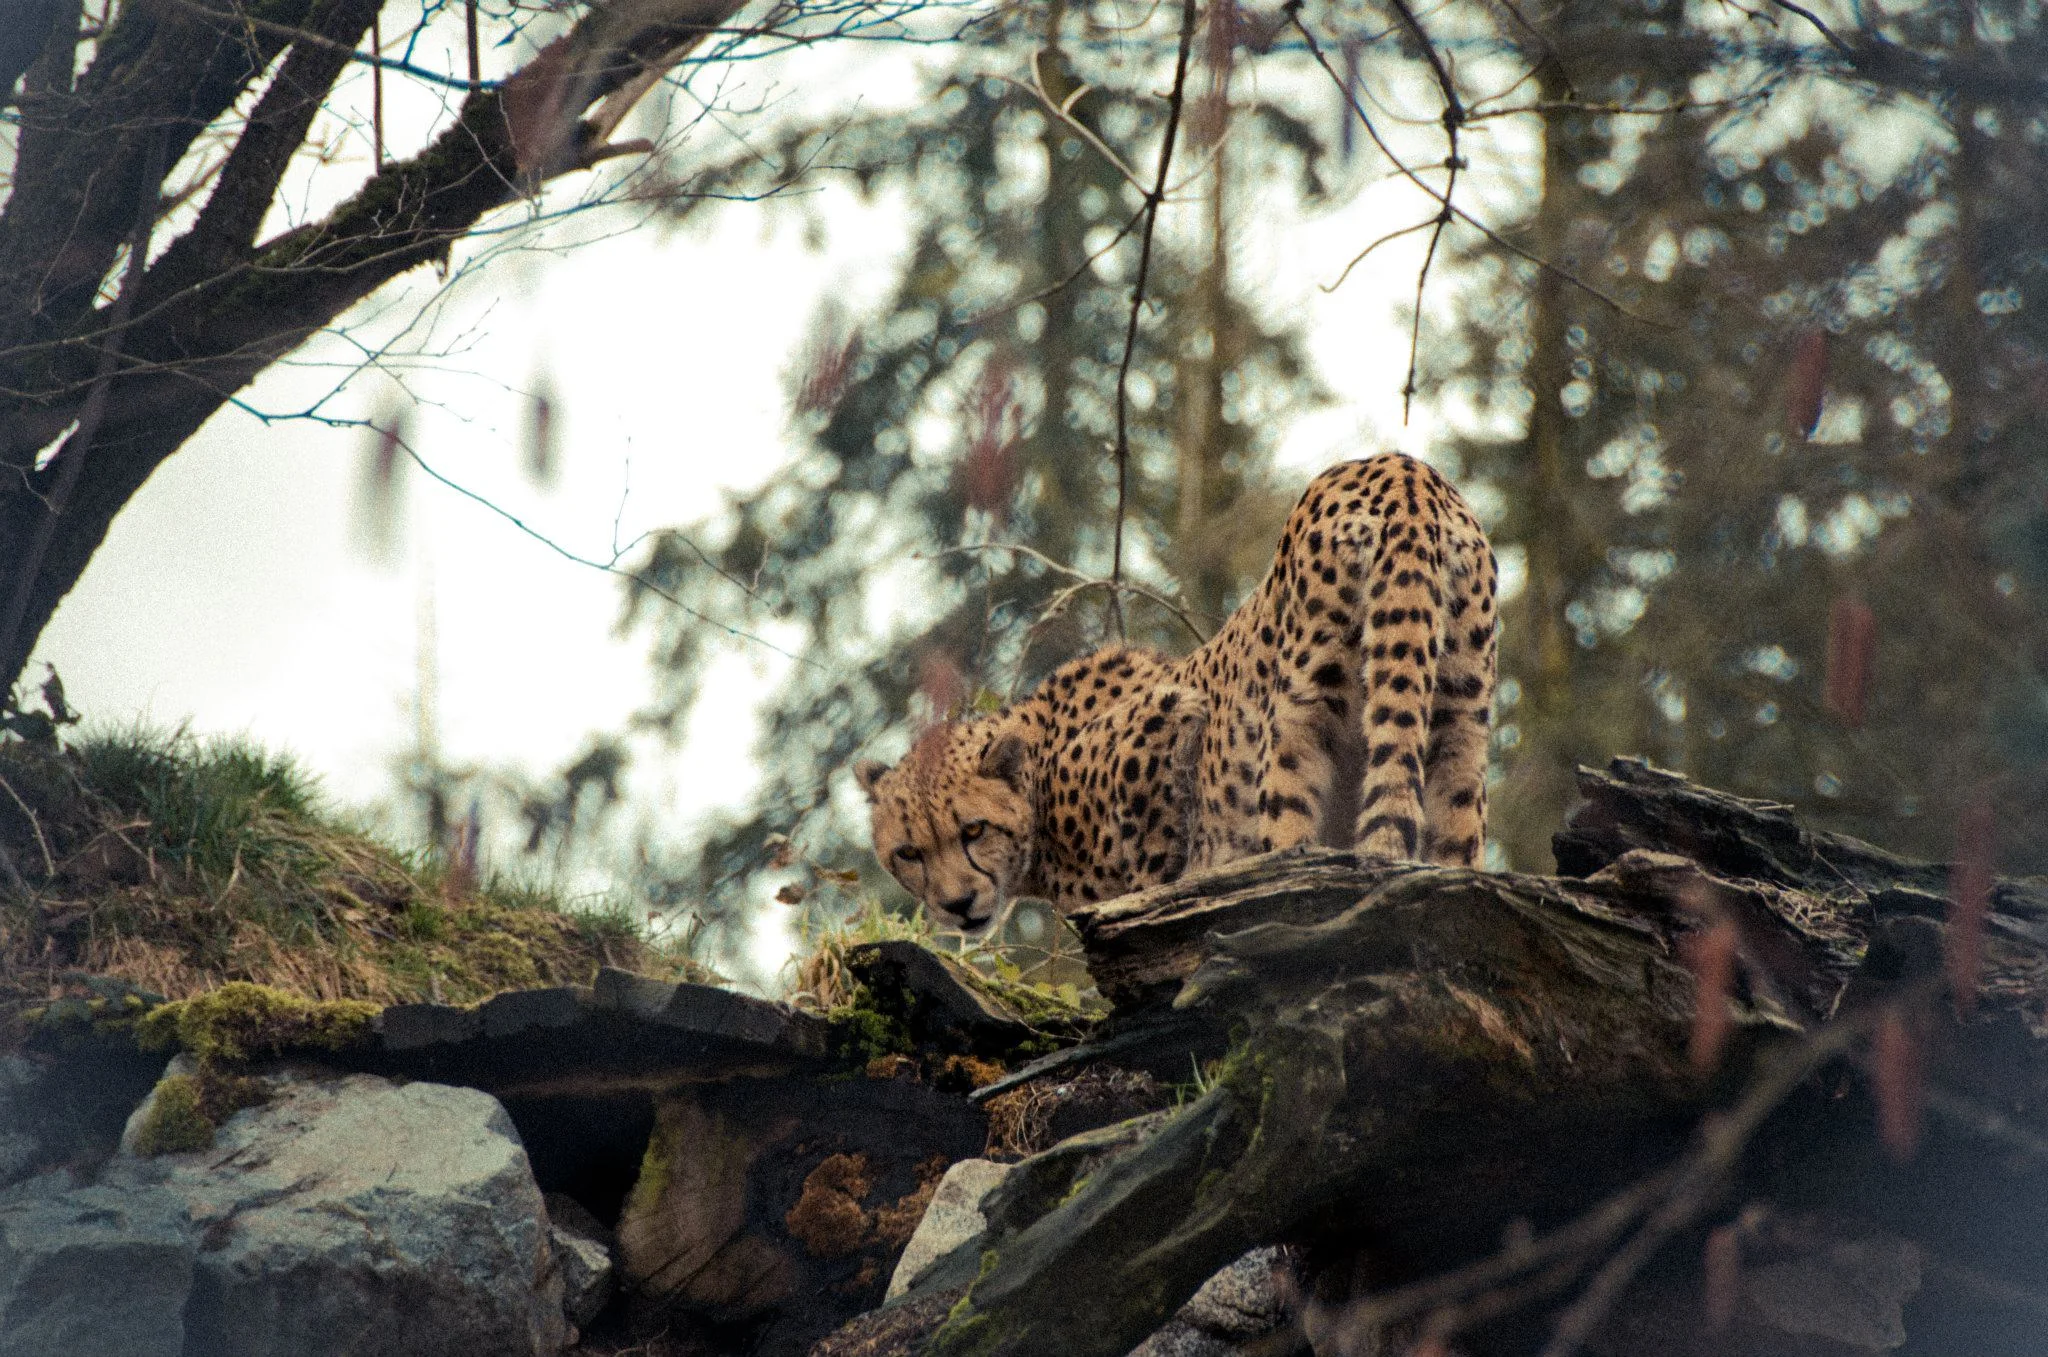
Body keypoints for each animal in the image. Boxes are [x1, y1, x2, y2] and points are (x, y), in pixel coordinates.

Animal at [854, 453, 1499, 933]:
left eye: (973, 831)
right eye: (908, 853)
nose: (958, 906)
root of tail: (1402, 468)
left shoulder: (1159, 725)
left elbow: (1157, 867)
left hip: (1299, 718)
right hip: (1460, 721)